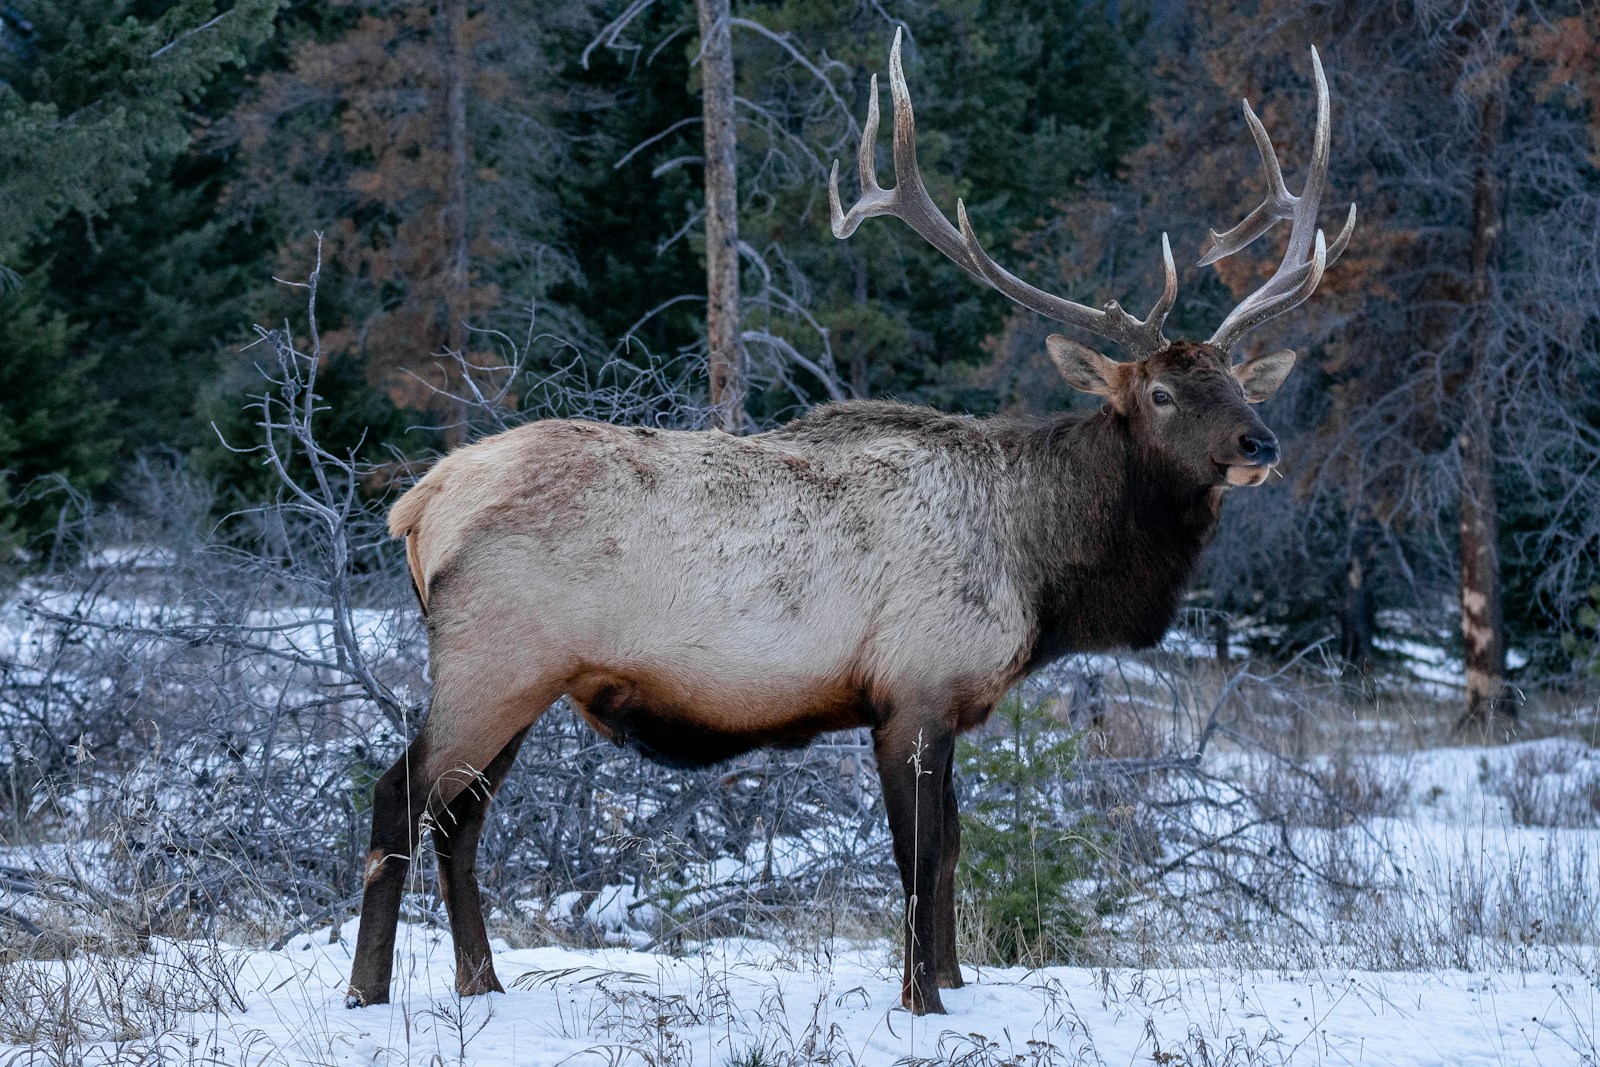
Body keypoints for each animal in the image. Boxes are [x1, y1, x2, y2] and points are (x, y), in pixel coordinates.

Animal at [345, 32, 1355, 1016]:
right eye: (1160, 392)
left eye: (1237, 381)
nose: (1260, 441)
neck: (1042, 570)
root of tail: (419, 502)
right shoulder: (912, 685)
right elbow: (916, 857)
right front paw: (920, 1000)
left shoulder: (946, 698)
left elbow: (951, 852)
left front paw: (952, 980)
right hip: (496, 658)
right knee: (400, 795)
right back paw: (367, 991)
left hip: (529, 677)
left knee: (460, 818)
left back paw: (483, 983)